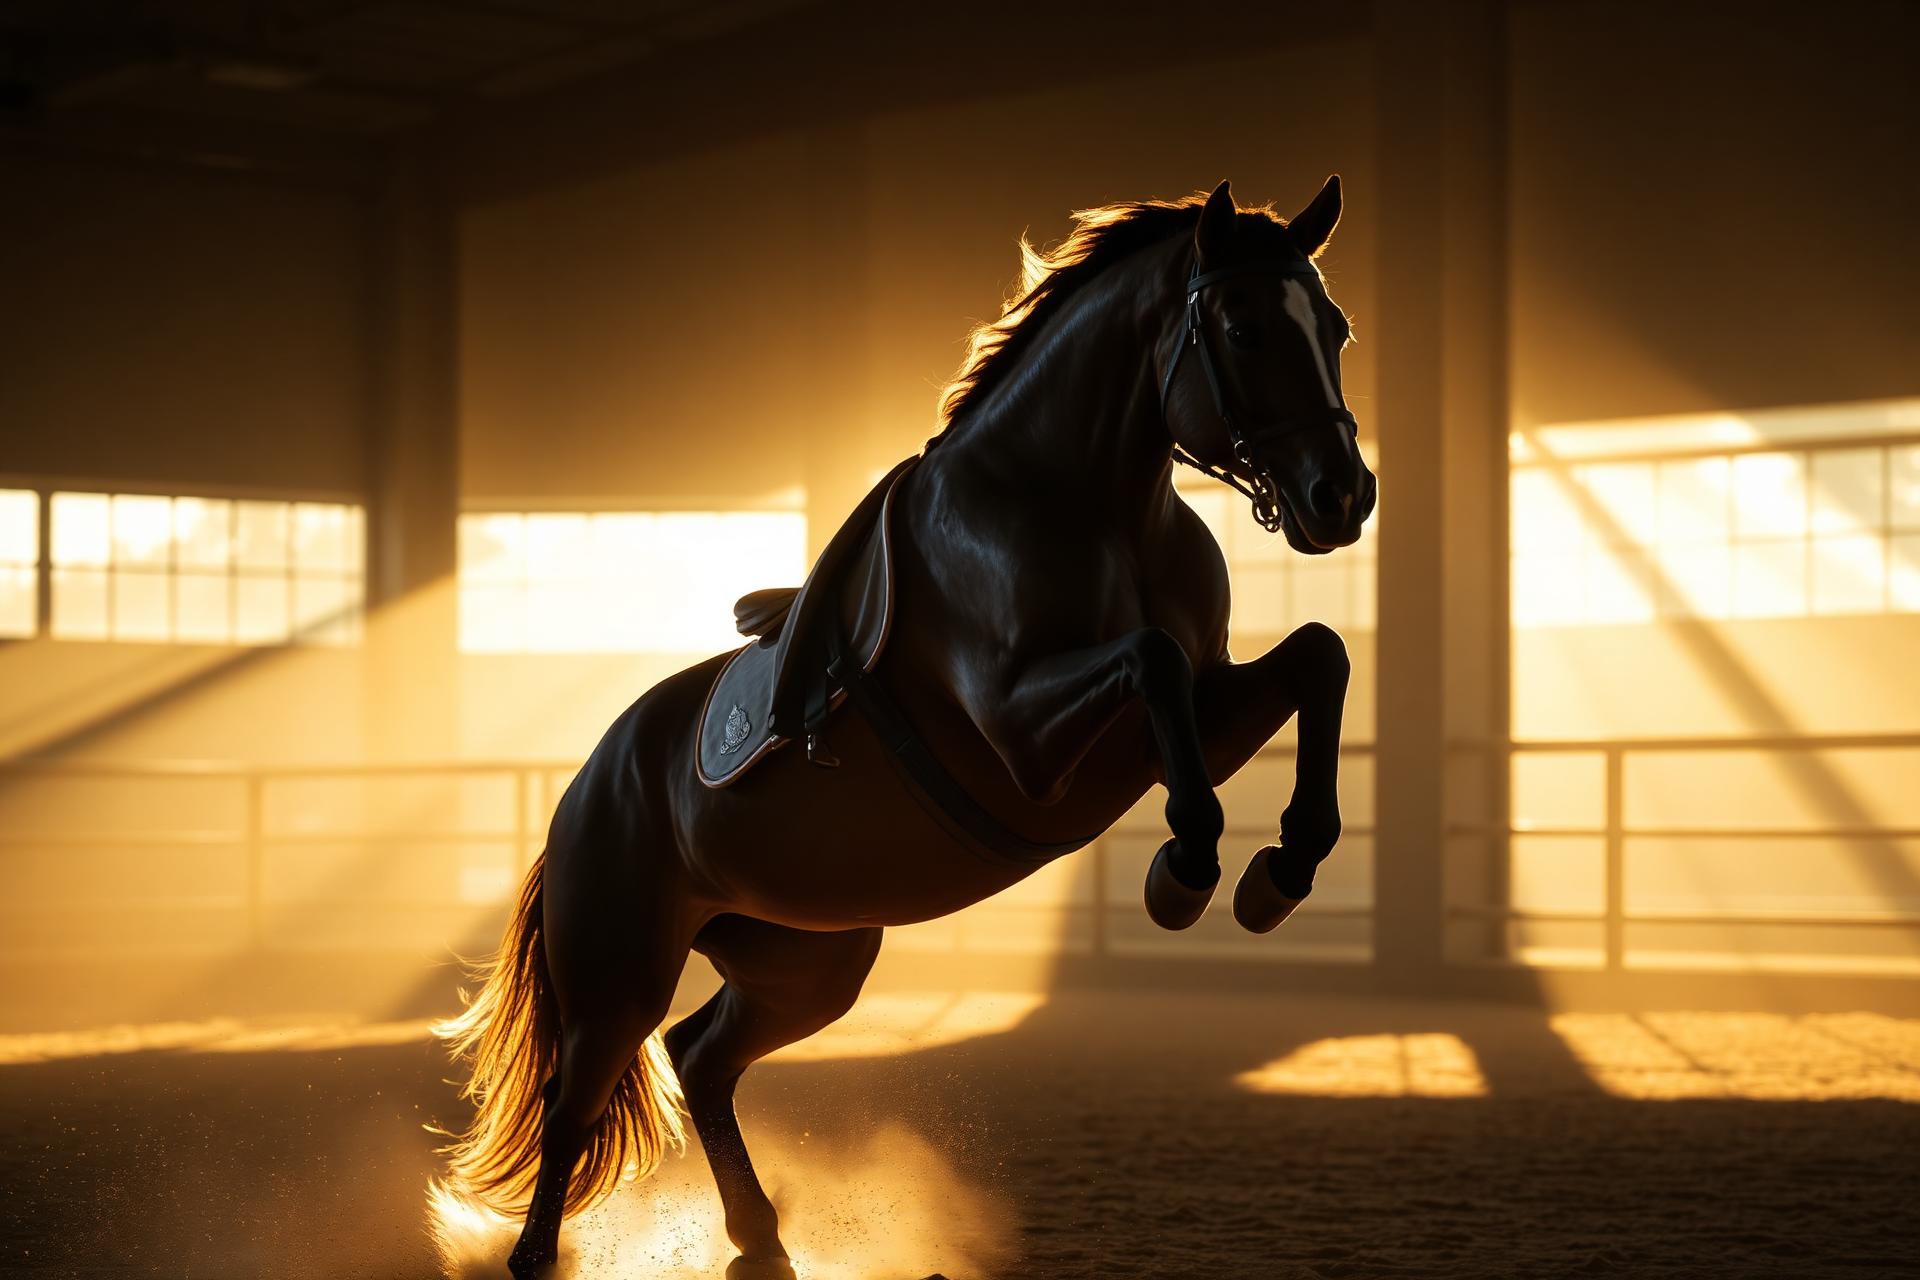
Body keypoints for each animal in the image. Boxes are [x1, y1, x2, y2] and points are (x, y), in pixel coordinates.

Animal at [436, 175, 1376, 1279]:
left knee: (700, 1057)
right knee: (575, 1104)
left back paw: (762, 1241)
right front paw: (1185, 870)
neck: (1093, 508)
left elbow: (1316, 655)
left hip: (808, 963)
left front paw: (1281, 870)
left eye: (1335, 327)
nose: (1341, 497)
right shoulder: (1029, 740)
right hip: (618, 975)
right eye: (1241, 326)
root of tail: (586, 787)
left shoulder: (1198, 717)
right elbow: (1153, 662)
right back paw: (549, 1255)